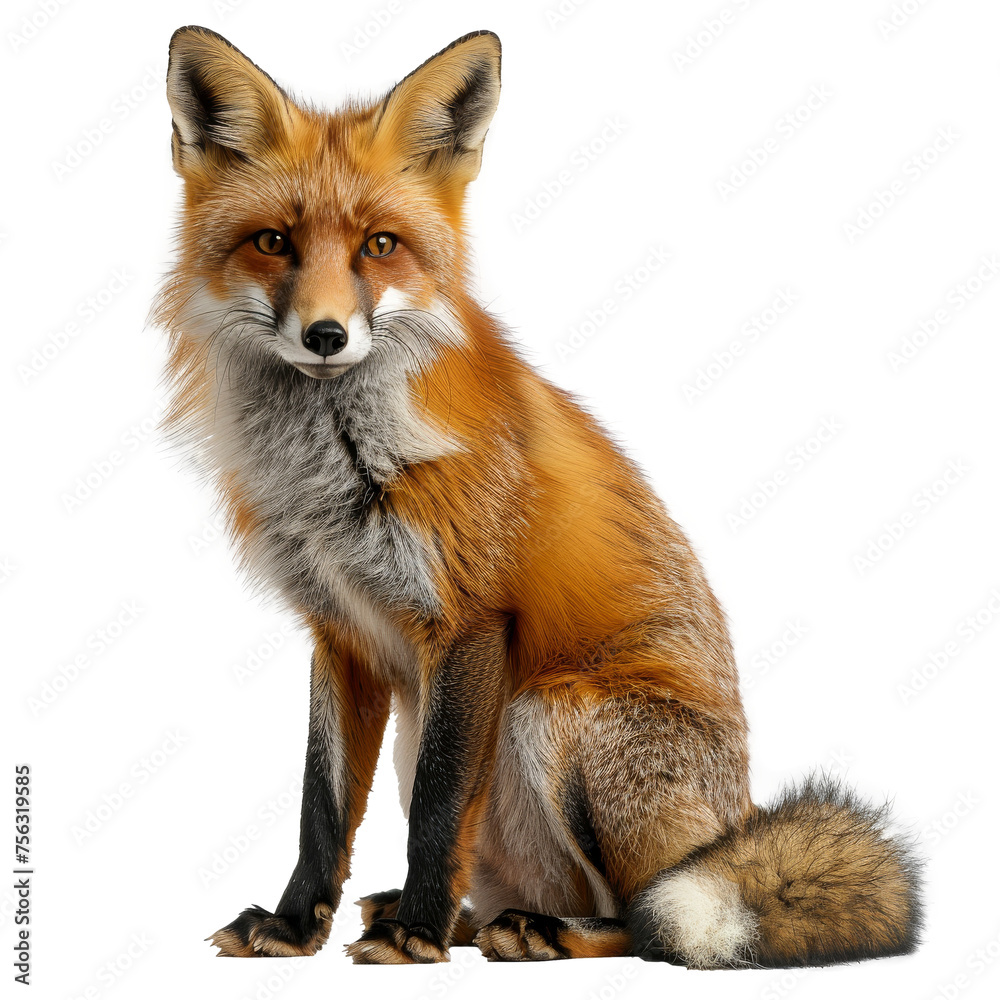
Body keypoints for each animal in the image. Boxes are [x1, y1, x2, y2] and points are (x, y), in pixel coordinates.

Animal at [153, 26, 922, 967]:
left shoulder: (469, 619)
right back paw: (463, 919)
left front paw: (413, 936)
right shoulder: (341, 636)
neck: (336, 469)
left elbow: (440, 807)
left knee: (642, 917)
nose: (327, 335)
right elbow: (320, 806)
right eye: (272, 242)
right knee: (513, 889)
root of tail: (732, 823)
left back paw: (527, 929)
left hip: (550, 712)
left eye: (379, 246)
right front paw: (300, 924)